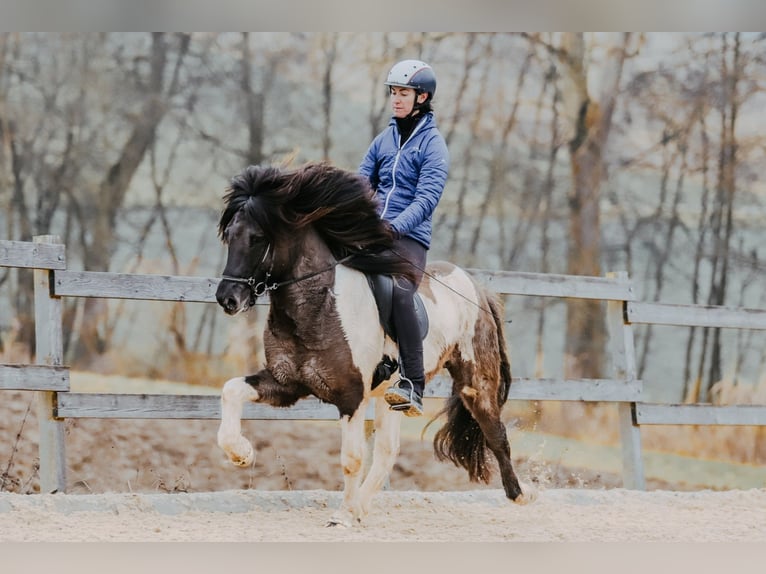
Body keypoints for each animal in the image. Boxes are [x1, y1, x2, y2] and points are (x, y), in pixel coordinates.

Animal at [214, 162, 536, 526]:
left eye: (257, 239)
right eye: (230, 235)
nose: (228, 299)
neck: (320, 306)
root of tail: (477, 288)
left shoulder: (351, 397)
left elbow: (351, 458)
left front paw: (340, 516)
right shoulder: (287, 384)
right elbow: (231, 390)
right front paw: (241, 453)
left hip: (475, 383)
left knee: (496, 435)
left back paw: (521, 495)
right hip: (390, 396)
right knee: (387, 451)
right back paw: (361, 507)